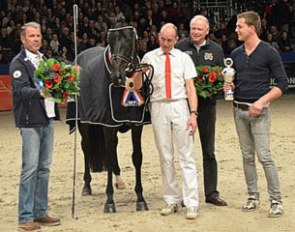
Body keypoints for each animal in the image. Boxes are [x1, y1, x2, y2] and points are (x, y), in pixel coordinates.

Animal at [67, 19, 153, 213]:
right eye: (110, 40)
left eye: (129, 39)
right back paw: (86, 186)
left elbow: (137, 157)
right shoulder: (108, 125)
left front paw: (140, 199)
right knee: (87, 147)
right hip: (84, 122)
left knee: (112, 151)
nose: (117, 75)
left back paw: (119, 181)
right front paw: (109, 202)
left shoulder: (135, 125)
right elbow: (108, 155)